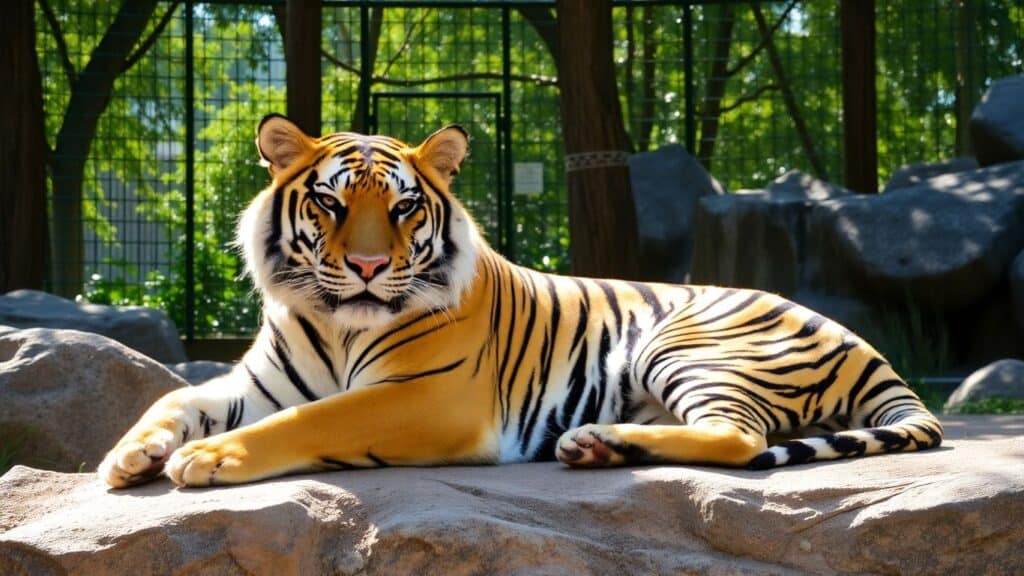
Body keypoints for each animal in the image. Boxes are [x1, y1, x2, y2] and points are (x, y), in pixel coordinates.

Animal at [99, 114, 943, 488]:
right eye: (332, 205)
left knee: (739, 439)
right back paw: (600, 444)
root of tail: (872, 350)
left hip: (689, 343)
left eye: (403, 208)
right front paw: (129, 455)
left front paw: (207, 458)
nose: (369, 266)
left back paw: (597, 444)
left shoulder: (428, 396)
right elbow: (174, 400)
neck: (338, 325)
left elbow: (317, 419)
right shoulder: (260, 382)